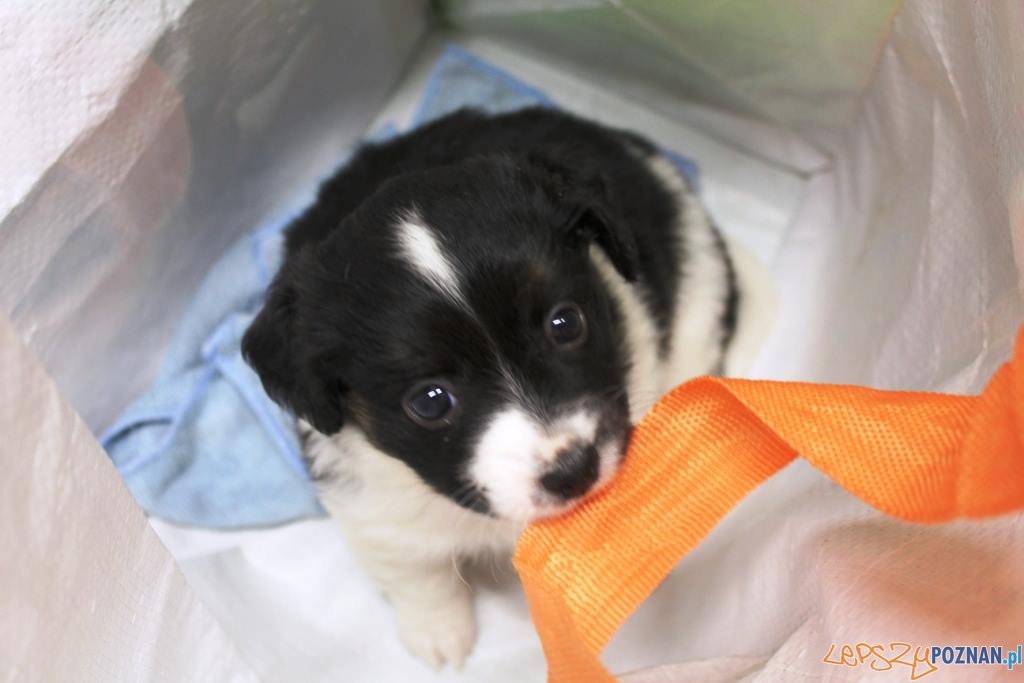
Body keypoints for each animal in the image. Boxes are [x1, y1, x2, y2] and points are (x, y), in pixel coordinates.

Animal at [243, 107, 741, 667]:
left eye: (565, 323)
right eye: (430, 402)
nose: (574, 470)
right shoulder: (369, 501)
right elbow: (414, 571)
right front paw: (438, 632)